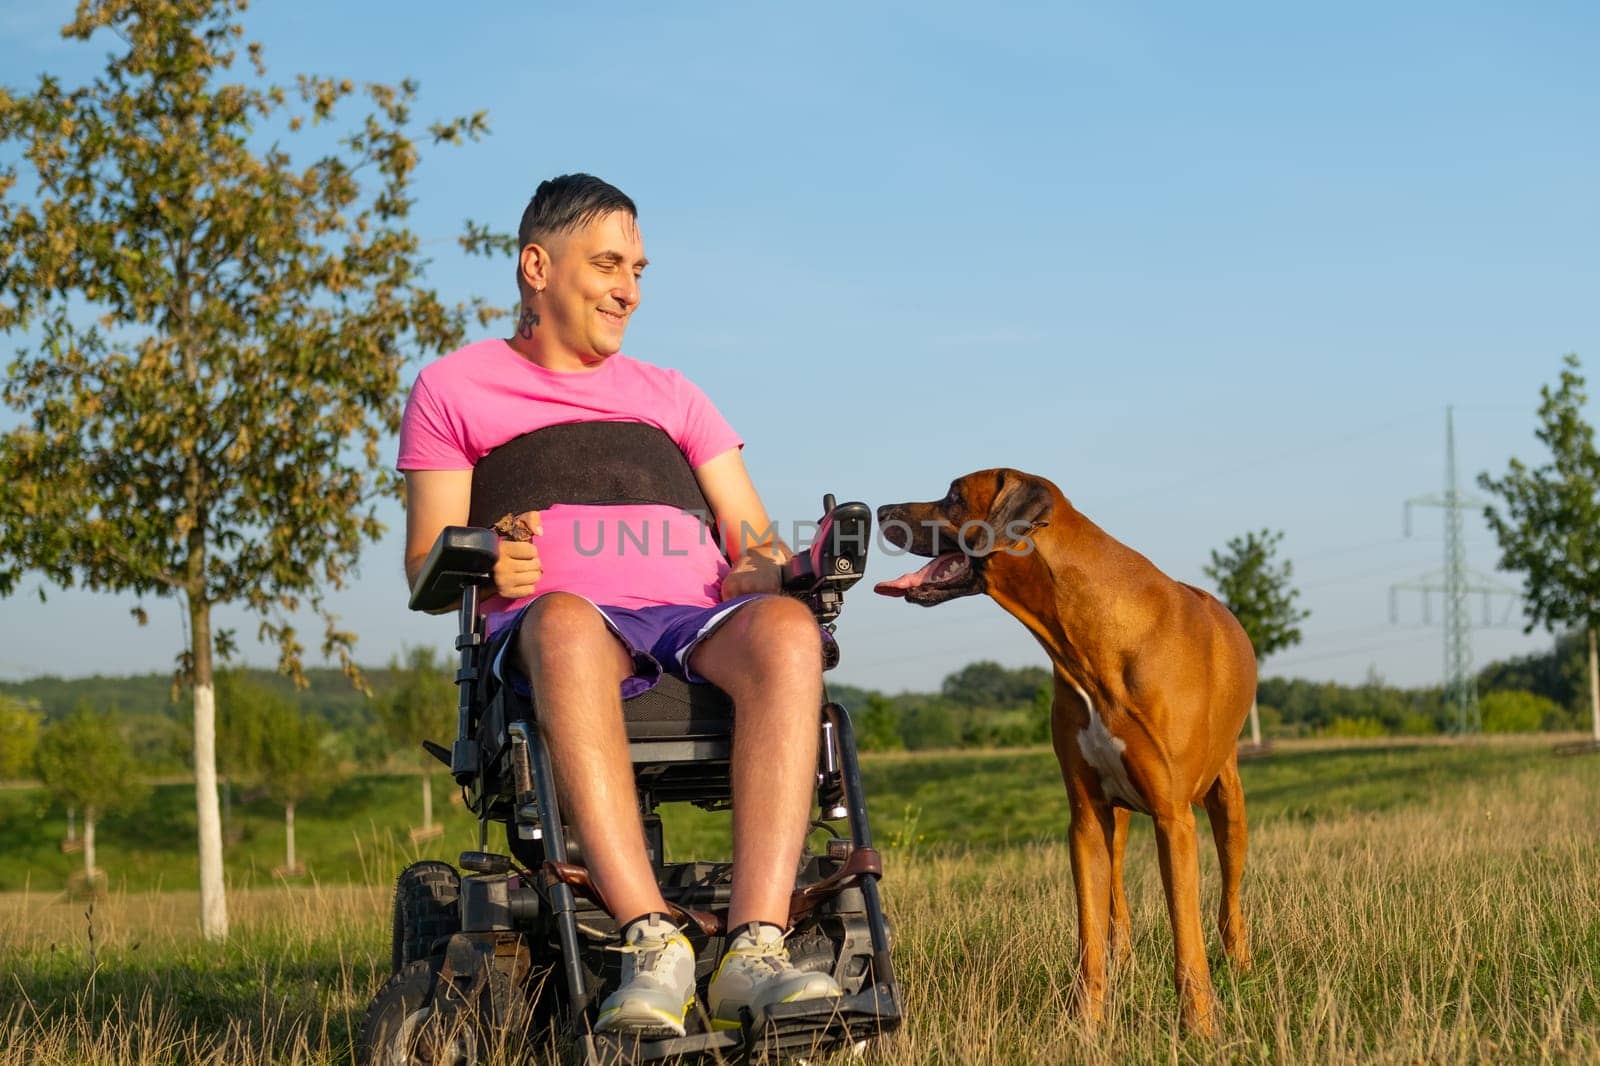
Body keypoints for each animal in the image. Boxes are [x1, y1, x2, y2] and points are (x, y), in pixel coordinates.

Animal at [883, 464, 1254, 1030]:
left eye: (953, 497)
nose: (882, 511)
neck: (1088, 638)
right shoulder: (1084, 817)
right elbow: (1089, 932)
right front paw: (1087, 1023)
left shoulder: (1174, 817)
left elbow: (1185, 931)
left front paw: (1199, 1024)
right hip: (1117, 817)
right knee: (1117, 894)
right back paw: (1125, 959)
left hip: (1226, 801)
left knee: (1229, 896)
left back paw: (1240, 964)